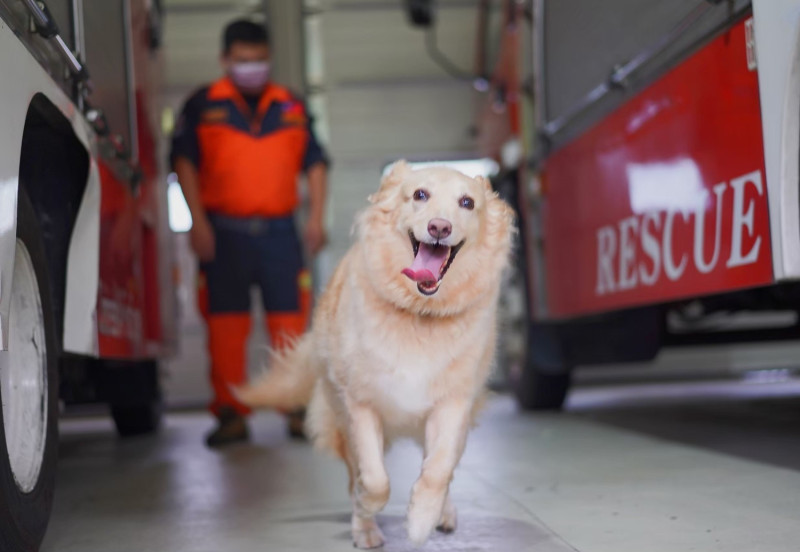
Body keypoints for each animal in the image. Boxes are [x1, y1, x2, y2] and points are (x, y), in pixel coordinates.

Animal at [234, 158, 516, 548]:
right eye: (420, 195)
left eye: (467, 203)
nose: (439, 227)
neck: (418, 313)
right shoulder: (359, 404)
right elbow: (374, 478)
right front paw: (366, 508)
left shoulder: (453, 403)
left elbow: (437, 471)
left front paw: (421, 519)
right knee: (358, 473)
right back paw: (365, 527)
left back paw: (442, 513)